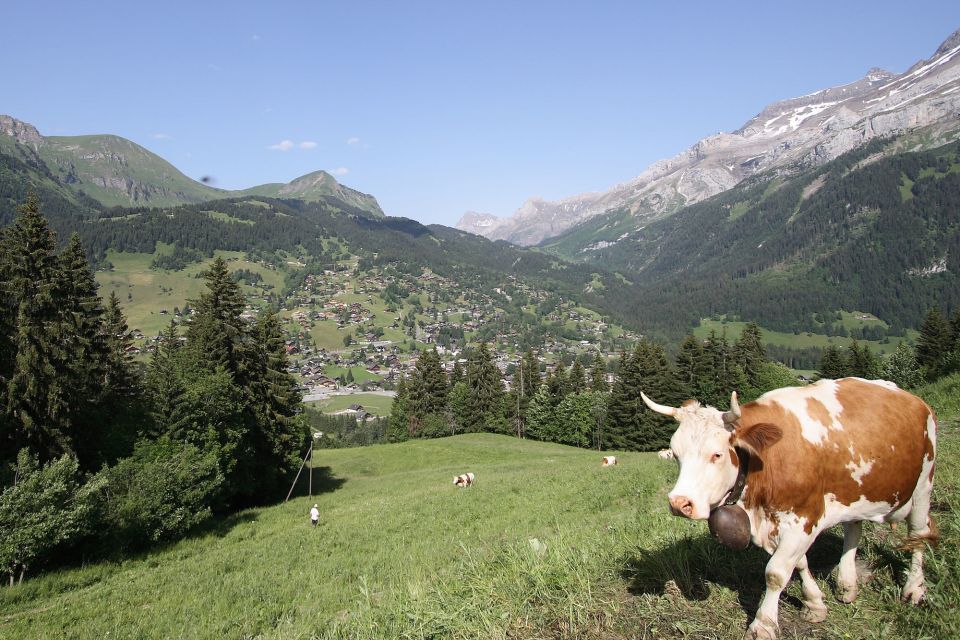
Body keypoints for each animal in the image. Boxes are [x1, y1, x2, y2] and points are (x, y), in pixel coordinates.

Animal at [644, 380, 936, 640]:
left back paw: (914, 589)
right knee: (853, 529)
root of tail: (915, 399)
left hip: (923, 482)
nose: (680, 503)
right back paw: (847, 584)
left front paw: (763, 625)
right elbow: (800, 562)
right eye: (675, 454)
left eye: (717, 454)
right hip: (855, 490)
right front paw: (814, 603)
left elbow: (776, 572)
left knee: (919, 534)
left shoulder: (805, 517)